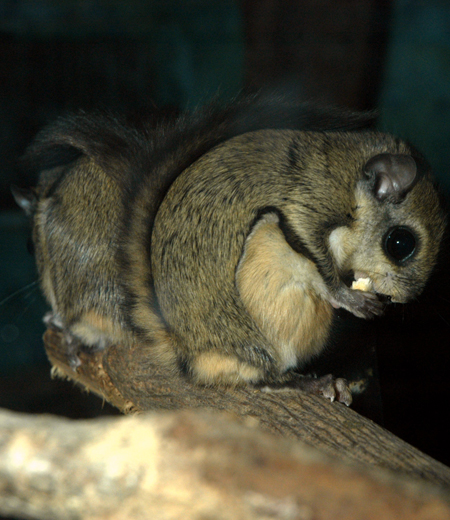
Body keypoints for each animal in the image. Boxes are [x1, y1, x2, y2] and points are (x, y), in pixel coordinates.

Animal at [13, 93, 446, 406]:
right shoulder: (309, 203)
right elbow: (315, 256)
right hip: (263, 271)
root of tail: (188, 350)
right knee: (264, 376)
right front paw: (348, 296)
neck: (352, 178)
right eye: (400, 244)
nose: (405, 298)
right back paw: (302, 383)